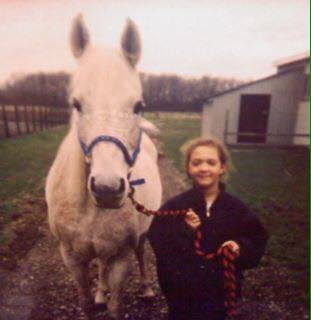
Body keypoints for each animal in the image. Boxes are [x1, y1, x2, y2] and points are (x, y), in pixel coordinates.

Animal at [45, 15, 163, 320]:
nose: (107, 188)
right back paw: (101, 292)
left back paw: (147, 289)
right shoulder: (72, 258)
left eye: (138, 106)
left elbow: (116, 306)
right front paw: (95, 298)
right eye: (76, 104)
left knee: (141, 252)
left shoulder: (122, 258)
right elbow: (86, 303)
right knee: (100, 263)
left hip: (141, 236)